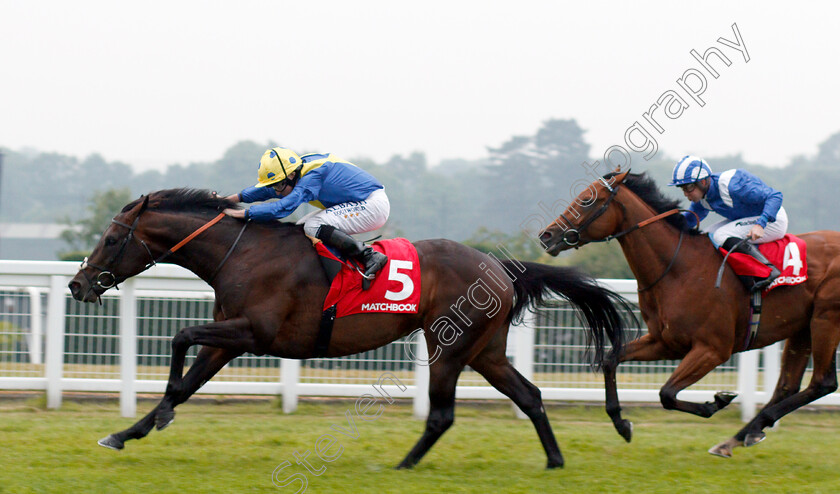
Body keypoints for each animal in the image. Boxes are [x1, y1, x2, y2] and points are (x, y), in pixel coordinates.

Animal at [67, 187, 632, 468]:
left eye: (112, 238)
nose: (77, 284)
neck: (243, 253)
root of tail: (500, 267)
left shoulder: (254, 333)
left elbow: (179, 338)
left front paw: (157, 415)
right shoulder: (230, 338)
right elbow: (186, 384)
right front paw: (126, 433)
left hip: (449, 346)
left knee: (442, 414)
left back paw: (402, 466)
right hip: (485, 351)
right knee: (530, 395)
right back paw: (554, 461)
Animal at [536, 171, 840, 460]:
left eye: (587, 200)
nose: (546, 236)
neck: (678, 268)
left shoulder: (712, 349)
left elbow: (667, 394)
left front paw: (716, 402)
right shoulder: (664, 342)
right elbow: (611, 360)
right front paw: (621, 423)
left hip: (826, 318)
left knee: (822, 383)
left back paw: (749, 430)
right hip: (802, 328)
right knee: (787, 386)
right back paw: (739, 437)